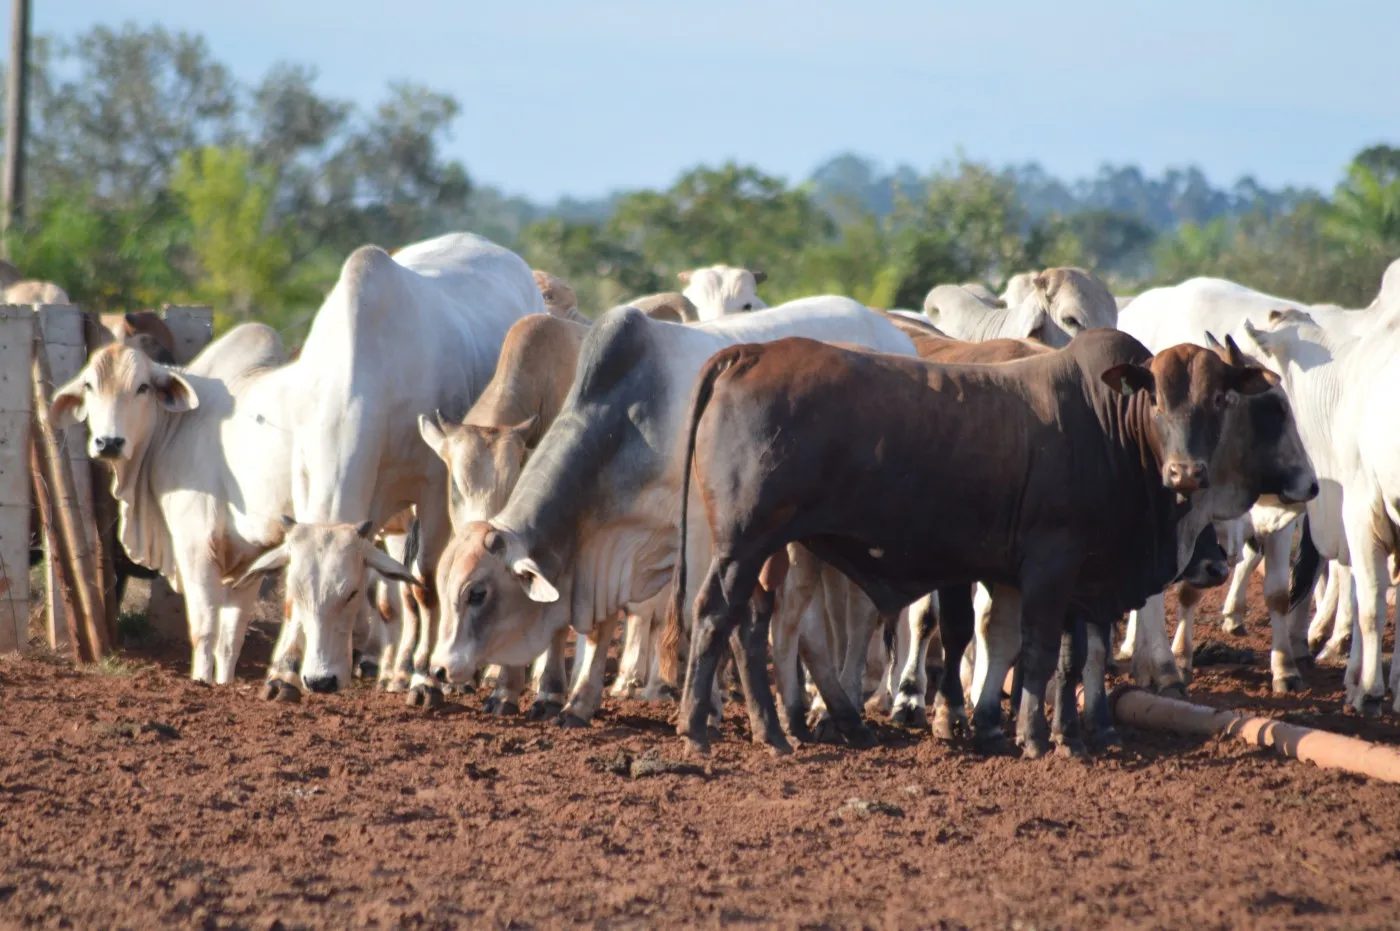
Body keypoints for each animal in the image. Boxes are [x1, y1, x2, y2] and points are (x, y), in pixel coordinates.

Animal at [52, 323, 295, 680]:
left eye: (142, 387)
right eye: (89, 386)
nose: (109, 442)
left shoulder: (196, 546)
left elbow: (205, 630)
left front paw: (201, 682)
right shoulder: (247, 560)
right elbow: (230, 640)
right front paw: (222, 683)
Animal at [238, 231, 543, 697]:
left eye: (349, 592)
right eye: (300, 591)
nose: (321, 679)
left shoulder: (435, 491)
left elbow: (428, 586)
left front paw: (425, 679)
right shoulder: (306, 478)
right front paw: (283, 673)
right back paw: (396, 670)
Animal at [666, 326, 1310, 756]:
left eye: (1221, 398)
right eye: (1156, 398)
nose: (1185, 473)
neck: (1109, 428)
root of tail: (750, 351)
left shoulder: (1073, 580)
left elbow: (1070, 657)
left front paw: (1065, 731)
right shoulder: (1051, 565)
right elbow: (1038, 651)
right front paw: (1034, 736)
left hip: (767, 548)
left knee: (754, 622)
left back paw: (776, 731)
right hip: (744, 542)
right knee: (717, 613)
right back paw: (698, 727)